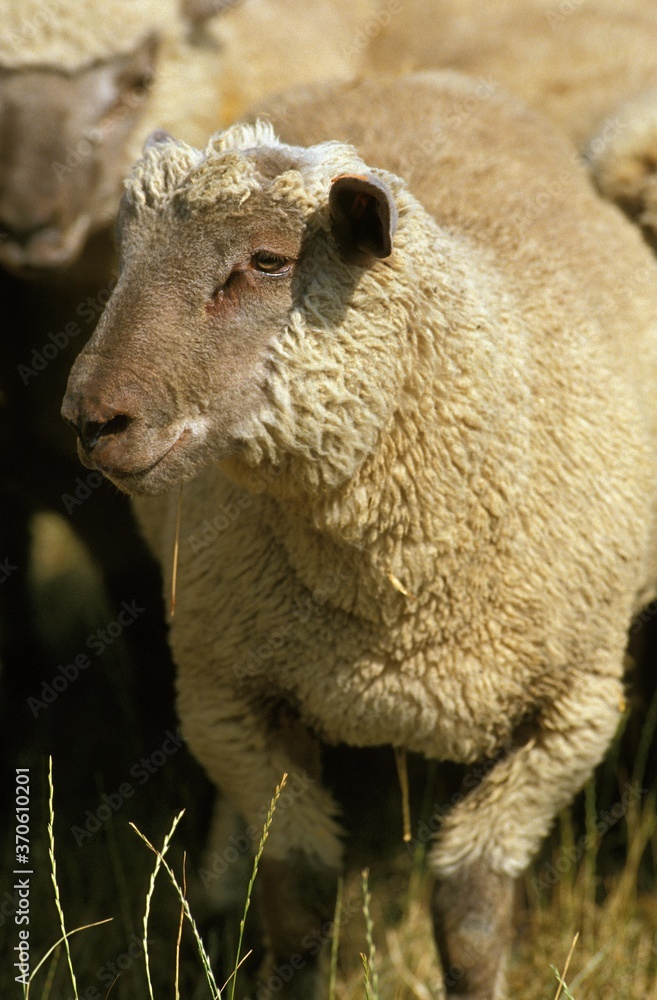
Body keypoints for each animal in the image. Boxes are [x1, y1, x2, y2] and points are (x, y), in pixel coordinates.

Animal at [61, 70, 657, 998]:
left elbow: (471, 913)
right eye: (124, 259)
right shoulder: (230, 702)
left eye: (268, 261)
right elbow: (298, 900)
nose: (91, 419)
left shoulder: (568, 716)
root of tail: (403, 76)